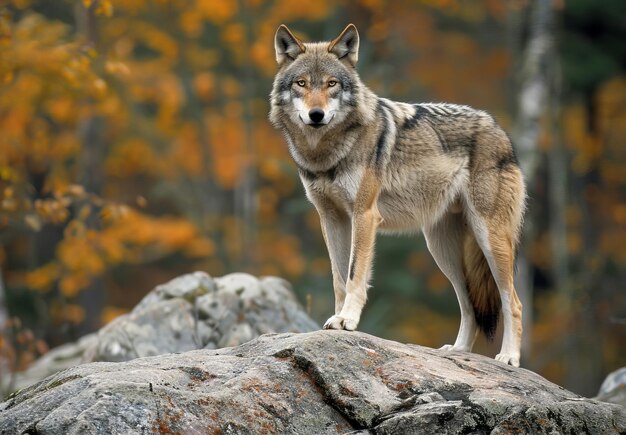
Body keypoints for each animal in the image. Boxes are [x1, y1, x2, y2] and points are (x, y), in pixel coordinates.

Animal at [268, 23, 528, 364]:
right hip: (442, 250)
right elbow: (339, 278)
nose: (316, 114)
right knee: (469, 303)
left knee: (513, 301)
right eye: (301, 83)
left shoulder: (364, 215)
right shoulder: (331, 219)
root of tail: (499, 130)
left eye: (331, 84)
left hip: (490, 239)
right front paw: (336, 320)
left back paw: (509, 357)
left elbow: (354, 275)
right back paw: (458, 350)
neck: (326, 152)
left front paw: (347, 320)